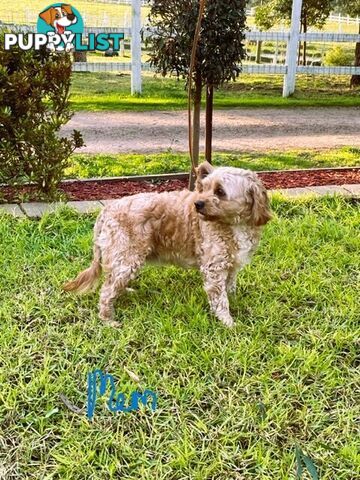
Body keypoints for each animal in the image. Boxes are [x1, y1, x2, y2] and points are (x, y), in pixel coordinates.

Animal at [63, 163, 272, 328]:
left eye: (220, 192)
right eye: (204, 188)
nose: (197, 204)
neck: (233, 224)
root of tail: (107, 209)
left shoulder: (232, 265)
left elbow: (230, 288)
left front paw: (235, 302)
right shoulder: (214, 268)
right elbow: (220, 300)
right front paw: (228, 322)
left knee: (111, 281)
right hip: (127, 258)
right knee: (106, 290)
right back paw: (108, 319)